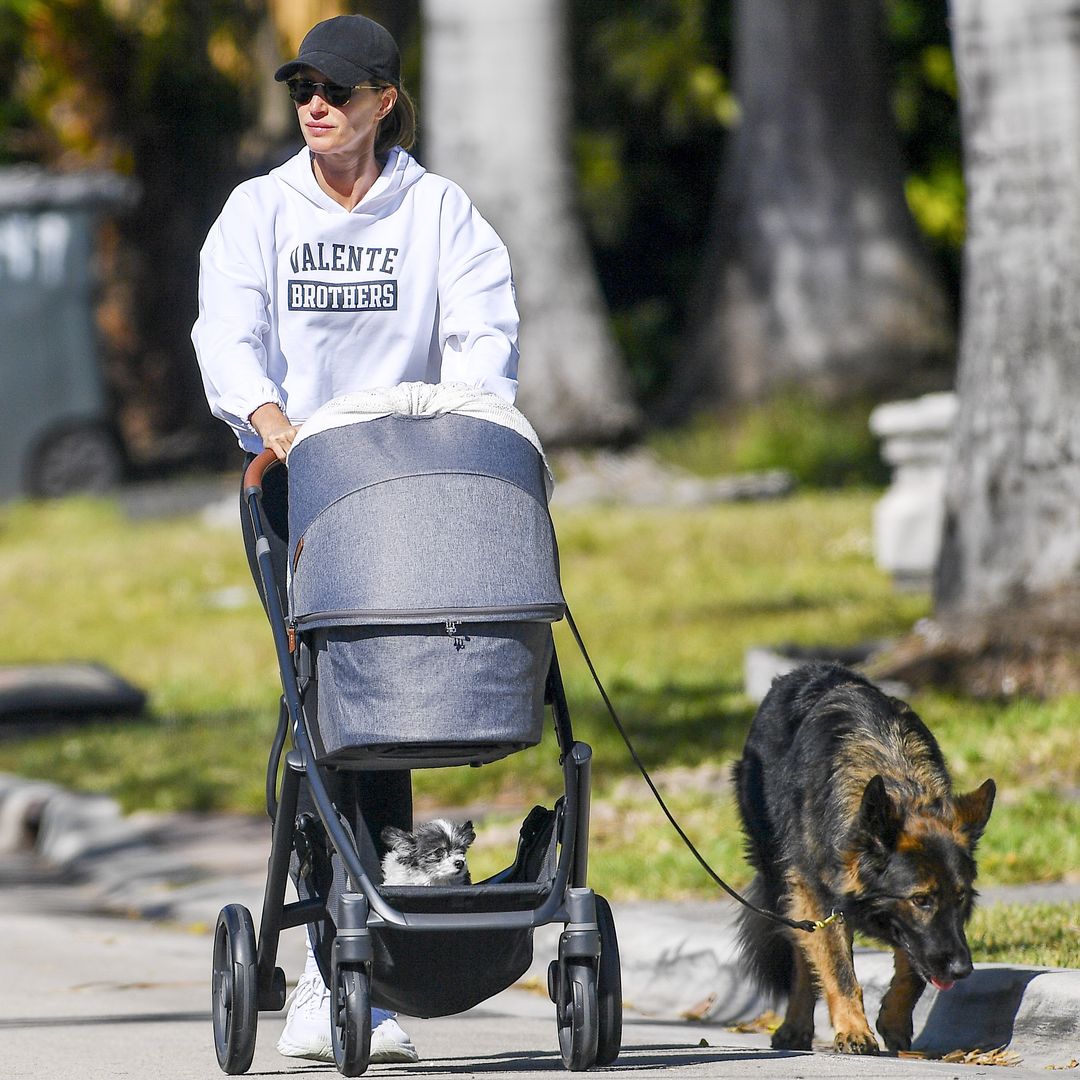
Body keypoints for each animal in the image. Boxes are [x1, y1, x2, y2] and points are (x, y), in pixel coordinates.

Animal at [734, 660, 993, 1049]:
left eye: (960, 898)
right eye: (921, 900)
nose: (963, 970)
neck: (897, 779)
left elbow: (912, 969)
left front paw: (894, 1019)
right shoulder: (818, 897)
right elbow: (838, 970)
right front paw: (854, 1029)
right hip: (781, 880)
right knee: (803, 954)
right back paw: (796, 1024)